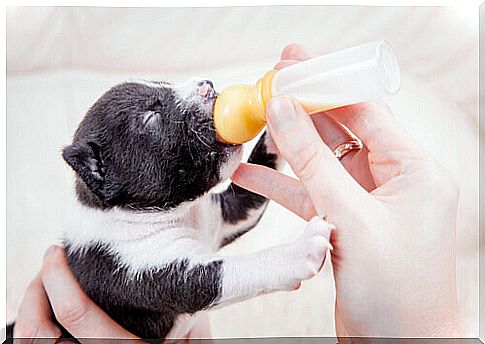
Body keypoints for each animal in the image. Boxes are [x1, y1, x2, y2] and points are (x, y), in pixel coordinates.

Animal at [12, 77, 332, 338]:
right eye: (151, 117)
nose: (207, 85)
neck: (175, 214)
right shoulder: (156, 273)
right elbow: (238, 270)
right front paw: (302, 249)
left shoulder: (226, 214)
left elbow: (250, 189)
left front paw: (275, 122)